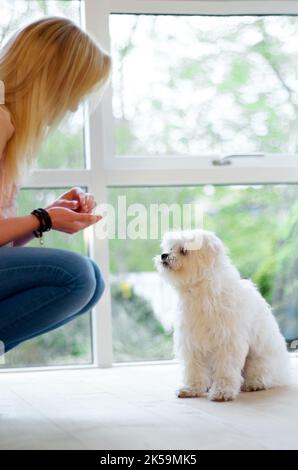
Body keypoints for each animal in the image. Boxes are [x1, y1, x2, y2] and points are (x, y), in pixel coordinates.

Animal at [155, 229, 290, 402]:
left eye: (184, 251)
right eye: (170, 248)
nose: (164, 255)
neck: (202, 291)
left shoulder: (227, 340)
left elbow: (225, 369)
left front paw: (222, 391)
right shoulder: (191, 341)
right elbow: (194, 368)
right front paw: (191, 388)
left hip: (260, 358)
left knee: (263, 373)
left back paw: (254, 383)